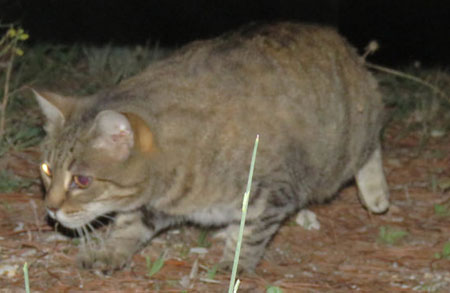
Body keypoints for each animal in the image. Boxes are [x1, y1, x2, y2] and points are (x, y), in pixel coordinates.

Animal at [34, 22, 390, 272]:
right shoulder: (157, 203)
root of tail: (339, 41)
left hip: (349, 142)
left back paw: (376, 194)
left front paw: (234, 262)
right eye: (47, 169)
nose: (50, 207)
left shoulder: (271, 191)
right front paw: (108, 252)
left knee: (371, 144)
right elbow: (128, 224)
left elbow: (251, 233)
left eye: (82, 181)